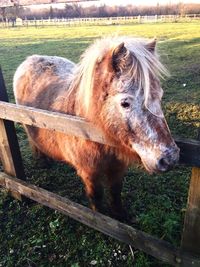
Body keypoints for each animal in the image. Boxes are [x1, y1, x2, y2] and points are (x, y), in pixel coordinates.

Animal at [14, 36, 180, 220]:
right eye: (125, 103)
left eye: (160, 96)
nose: (170, 159)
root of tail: (31, 59)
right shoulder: (90, 173)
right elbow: (97, 196)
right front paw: (99, 217)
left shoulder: (117, 168)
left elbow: (115, 192)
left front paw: (120, 215)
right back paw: (43, 162)